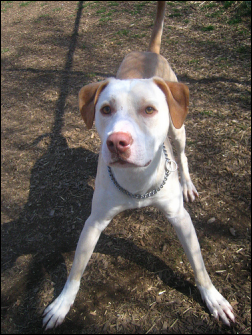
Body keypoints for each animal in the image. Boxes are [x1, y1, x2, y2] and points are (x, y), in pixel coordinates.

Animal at [42, 0, 234, 330]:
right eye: (105, 109)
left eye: (149, 110)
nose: (117, 142)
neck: (138, 180)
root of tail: (149, 51)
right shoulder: (94, 222)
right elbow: (76, 270)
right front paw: (61, 304)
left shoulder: (180, 219)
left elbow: (199, 264)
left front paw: (214, 298)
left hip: (179, 130)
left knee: (183, 155)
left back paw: (188, 184)